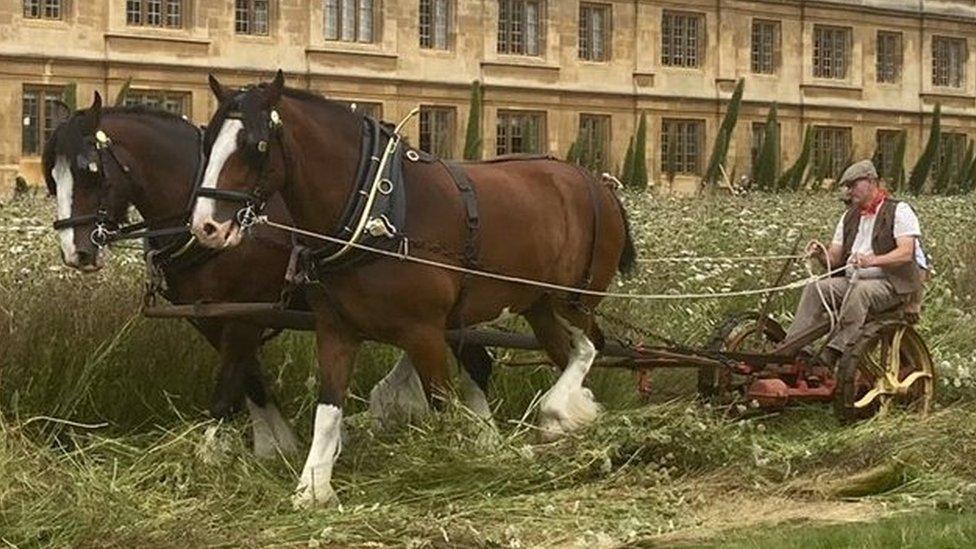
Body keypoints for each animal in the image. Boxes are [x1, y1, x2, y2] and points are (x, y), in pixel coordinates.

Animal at [42, 94, 492, 454]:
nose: (76, 252)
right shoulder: (211, 315)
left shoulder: (246, 311)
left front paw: (217, 453)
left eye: (91, 171)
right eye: (53, 176)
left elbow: (228, 387)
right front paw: (277, 444)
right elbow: (250, 380)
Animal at [192, 71, 636, 506]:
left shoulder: (424, 333)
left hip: (572, 299)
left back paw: (559, 412)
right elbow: (328, 408)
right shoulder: (336, 329)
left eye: (256, 145)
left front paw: (460, 466)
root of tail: (598, 185)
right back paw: (575, 419)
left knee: (590, 347)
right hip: (537, 304)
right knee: (568, 353)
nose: (206, 226)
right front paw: (313, 487)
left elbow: (444, 406)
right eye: (208, 141)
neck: (376, 209)